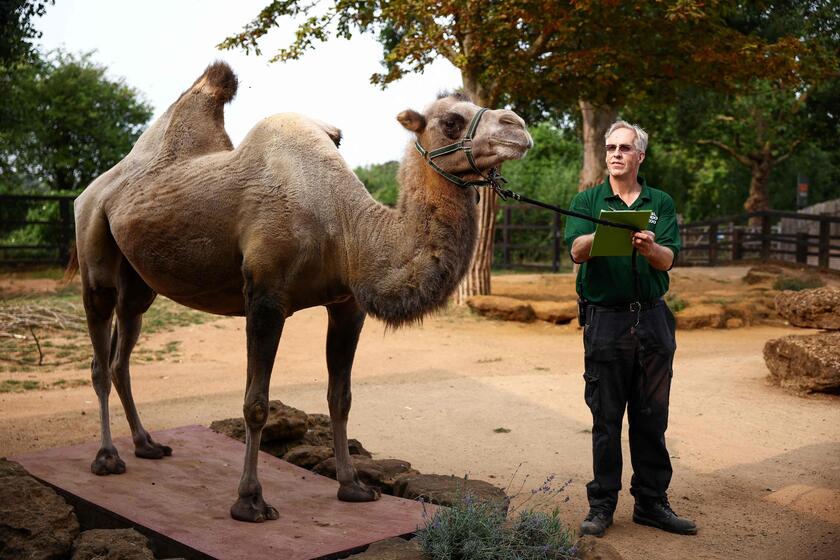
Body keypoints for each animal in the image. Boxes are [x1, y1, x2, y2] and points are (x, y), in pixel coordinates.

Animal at [72, 63, 532, 524]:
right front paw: (250, 501)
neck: (347, 227)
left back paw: (146, 444)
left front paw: (353, 486)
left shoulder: (347, 305)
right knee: (99, 357)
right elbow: (255, 403)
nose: (519, 126)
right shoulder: (266, 298)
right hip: (93, 246)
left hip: (139, 281)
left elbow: (340, 397)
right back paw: (107, 458)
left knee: (122, 353)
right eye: (451, 121)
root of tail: (95, 188)